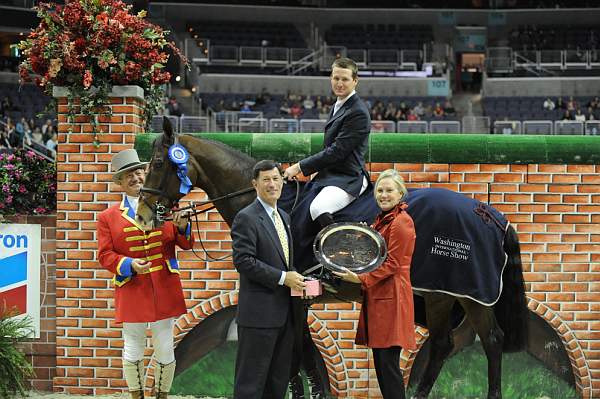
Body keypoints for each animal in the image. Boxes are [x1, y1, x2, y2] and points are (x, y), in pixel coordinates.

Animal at [137, 120, 528, 399]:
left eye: (157, 162)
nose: (143, 213)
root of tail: (488, 213)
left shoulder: (297, 294)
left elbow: (300, 353)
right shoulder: (298, 297)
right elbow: (303, 353)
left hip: (461, 294)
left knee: (484, 341)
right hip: (445, 296)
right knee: (458, 342)